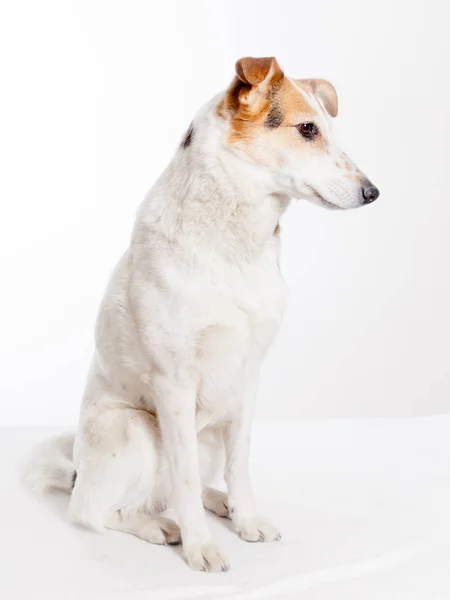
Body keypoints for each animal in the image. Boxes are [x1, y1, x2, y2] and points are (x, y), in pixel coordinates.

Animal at [27, 56, 380, 572]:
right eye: (307, 129)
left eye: (328, 128)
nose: (373, 193)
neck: (234, 247)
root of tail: (75, 474)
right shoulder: (175, 381)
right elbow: (185, 478)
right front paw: (200, 547)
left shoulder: (248, 378)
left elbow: (241, 464)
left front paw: (245, 518)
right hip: (135, 429)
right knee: (100, 511)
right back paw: (158, 526)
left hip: (211, 429)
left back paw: (220, 504)